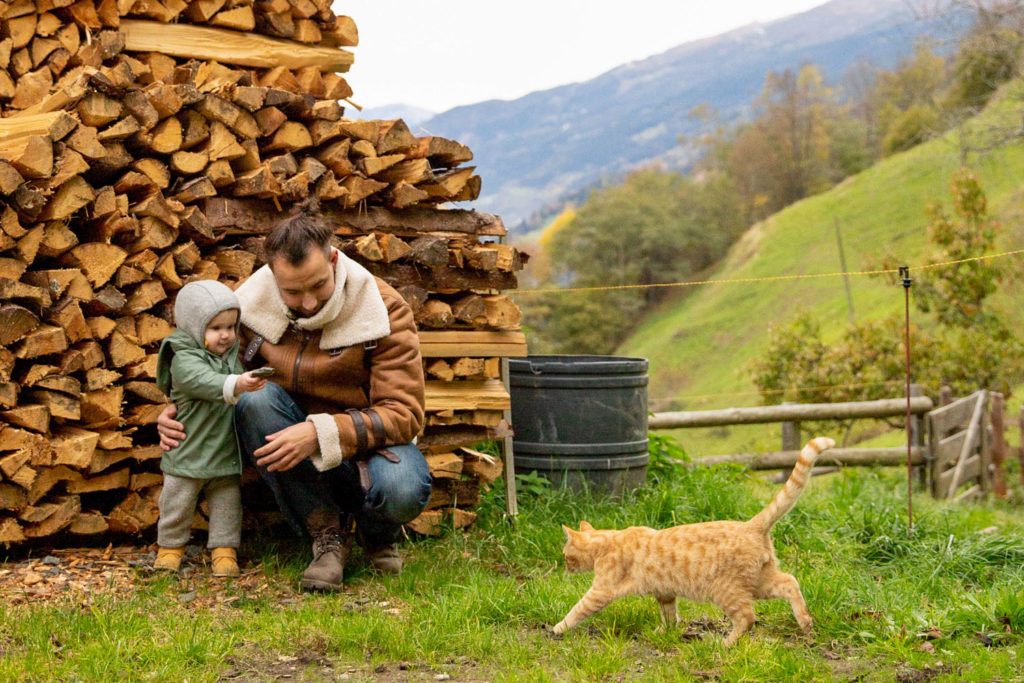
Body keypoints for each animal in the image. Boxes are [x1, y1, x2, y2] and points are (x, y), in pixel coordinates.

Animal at [557, 438, 835, 647]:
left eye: (565, 555)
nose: (565, 567)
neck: (608, 540)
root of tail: (751, 525)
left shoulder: (600, 591)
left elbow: (577, 609)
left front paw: (558, 628)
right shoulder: (665, 593)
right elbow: (670, 616)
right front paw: (665, 633)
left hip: (727, 591)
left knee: (747, 617)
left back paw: (725, 644)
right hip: (759, 582)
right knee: (790, 582)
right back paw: (806, 623)